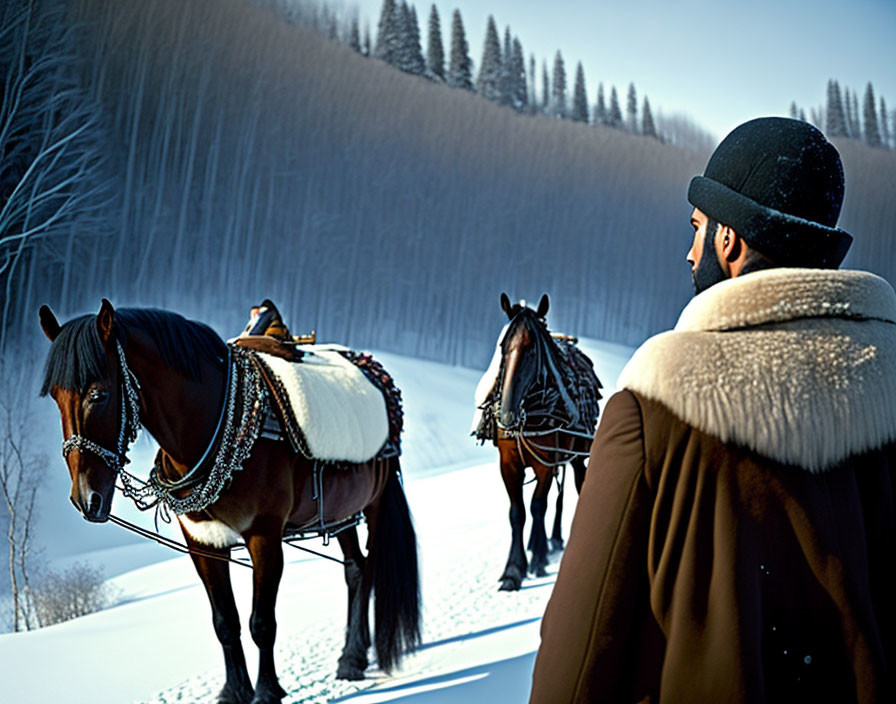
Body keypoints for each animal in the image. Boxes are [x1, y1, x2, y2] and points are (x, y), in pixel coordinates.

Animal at [38, 300, 420, 700]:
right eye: (56, 397)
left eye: (99, 395)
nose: (85, 498)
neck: (212, 426)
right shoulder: (203, 543)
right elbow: (224, 621)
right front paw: (234, 690)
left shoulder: (265, 538)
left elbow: (261, 623)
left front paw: (267, 690)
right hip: (341, 512)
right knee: (355, 569)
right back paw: (353, 656)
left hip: (374, 504)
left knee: (368, 567)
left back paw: (351, 657)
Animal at [476, 294, 600, 592]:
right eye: (503, 347)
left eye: (532, 350)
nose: (506, 415)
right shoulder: (509, 464)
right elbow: (517, 513)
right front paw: (513, 570)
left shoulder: (546, 461)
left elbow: (537, 506)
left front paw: (535, 561)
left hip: (576, 454)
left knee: (570, 489)